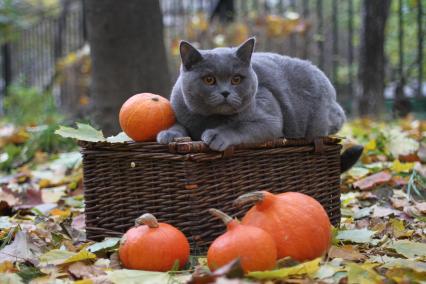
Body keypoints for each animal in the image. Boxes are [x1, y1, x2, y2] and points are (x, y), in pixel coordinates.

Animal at [156, 38, 346, 152]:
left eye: (236, 79)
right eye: (209, 80)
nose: (225, 92)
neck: (209, 119)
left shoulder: (269, 118)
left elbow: (239, 126)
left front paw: (216, 135)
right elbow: (179, 125)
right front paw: (169, 134)